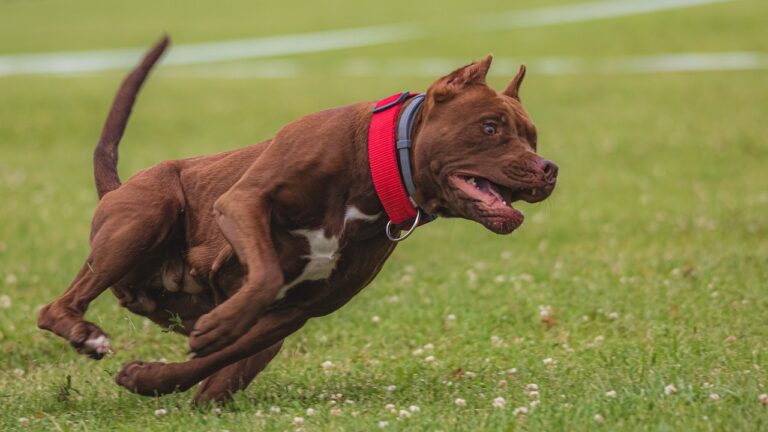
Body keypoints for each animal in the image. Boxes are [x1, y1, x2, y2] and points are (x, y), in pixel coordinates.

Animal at [37, 37, 560, 404]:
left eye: (532, 137)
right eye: (490, 127)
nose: (548, 168)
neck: (377, 169)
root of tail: (117, 187)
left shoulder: (296, 312)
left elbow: (217, 353)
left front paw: (152, 377)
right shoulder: (243, 201)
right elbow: (266, 274)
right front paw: (216, 326)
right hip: (148, 211)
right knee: (56, 308)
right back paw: (86, 334)